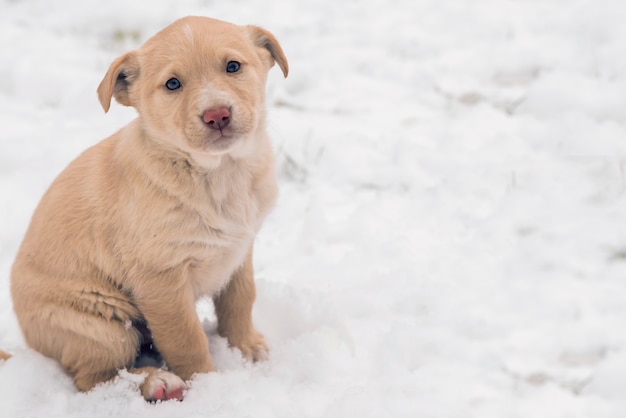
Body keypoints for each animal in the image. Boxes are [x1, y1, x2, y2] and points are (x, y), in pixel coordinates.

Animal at [9, 16, 288, 402]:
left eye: (233, 66)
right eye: (172, 84)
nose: (217, 115)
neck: (218, 173)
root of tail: (30, 342)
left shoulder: (239, 252)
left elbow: (240, 302)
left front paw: (245, 348)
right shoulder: (161, 278)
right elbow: (186, 339)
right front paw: (207, 388)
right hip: (101, 327)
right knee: (92, 379)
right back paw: (158, 383)